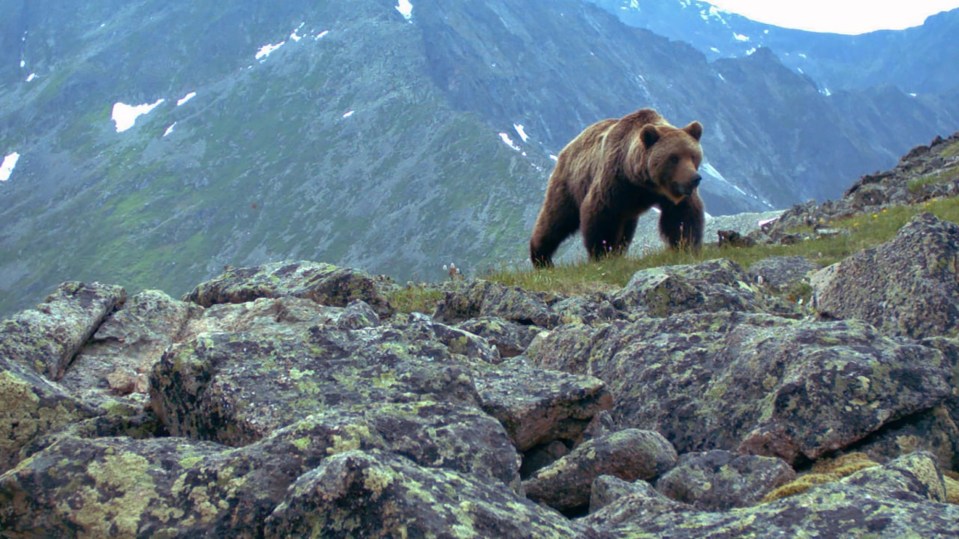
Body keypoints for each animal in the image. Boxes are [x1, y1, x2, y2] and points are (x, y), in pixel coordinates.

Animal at [524, 107, 704, 268]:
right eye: (673, 158)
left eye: (693, 155)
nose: (694, 179)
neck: (643, 183)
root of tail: (569, 145)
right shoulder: (615, 182)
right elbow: (601, 214)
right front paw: (602, 253)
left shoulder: (668, 194)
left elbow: (682, 216)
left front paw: (686, 245)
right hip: (569, 183)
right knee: (556, 217)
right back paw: (541, 257)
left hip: (628, 210)